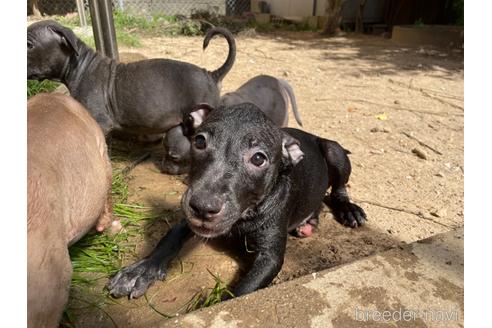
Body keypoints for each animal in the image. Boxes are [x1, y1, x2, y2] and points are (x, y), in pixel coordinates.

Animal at [106, 104, 366, 298]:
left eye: (259, 158)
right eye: (199, 142)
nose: (203, 207)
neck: (244, 216)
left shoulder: (270, 257)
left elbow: (239, 292)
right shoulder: (186, 218)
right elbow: (169, 238)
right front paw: (140, 271)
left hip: (334, 152)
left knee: (338, 188)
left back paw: (348, 210)